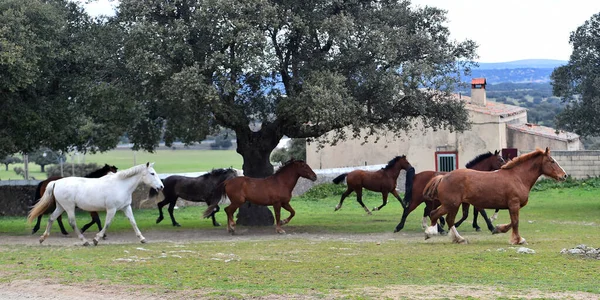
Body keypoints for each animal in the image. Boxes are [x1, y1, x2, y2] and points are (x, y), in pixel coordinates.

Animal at [28, 163, 164, 245]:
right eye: (152, 173)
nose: (161, 186)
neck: (121, 185)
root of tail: (55, 182)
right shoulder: (111, 209)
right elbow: (106, 223)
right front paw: (96, 239)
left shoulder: (126, 207)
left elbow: (133, 222)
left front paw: (142, 239)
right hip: (69, 207)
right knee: (71, 222)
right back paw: (84, 241)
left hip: (61, 207)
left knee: (52, 218)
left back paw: (43, 238)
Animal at [422, 148, 568, 244]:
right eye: (552, 161)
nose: (564, 175)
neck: (518, 177)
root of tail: (443, 177)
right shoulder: (514, 204)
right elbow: (515, 222)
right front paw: (518, 240)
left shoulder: (512, 206)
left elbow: (512, 222)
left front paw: (498, 229)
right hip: (451, 204)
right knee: (436, 214)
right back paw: (430, 233)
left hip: (454, 205)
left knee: (449, 219)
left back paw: (458, 238)